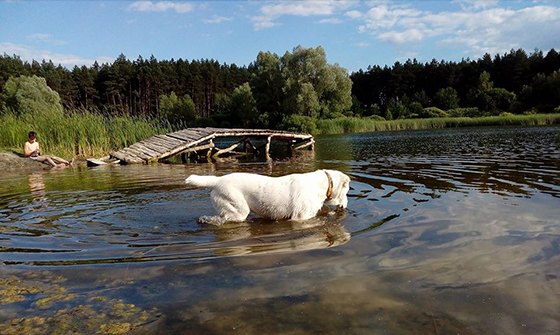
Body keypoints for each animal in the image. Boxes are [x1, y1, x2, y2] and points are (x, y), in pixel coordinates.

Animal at [185, 171, 350, 223]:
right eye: (347, 191)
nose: (347, 204)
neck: (324, 184)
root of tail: (218, 180)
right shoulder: (301, 217)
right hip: (238, 211)